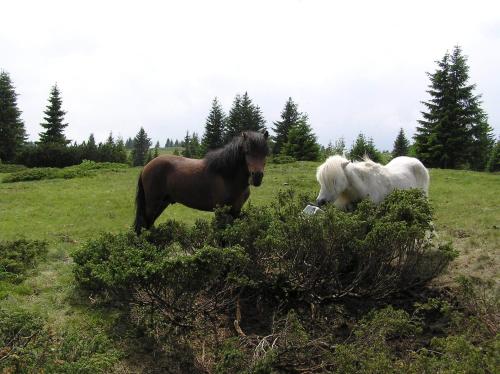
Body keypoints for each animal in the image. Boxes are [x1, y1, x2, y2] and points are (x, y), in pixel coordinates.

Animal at [134, 129, 270, 234]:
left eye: (265, 153)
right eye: (247, 152)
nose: (257, 177)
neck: (226, 175)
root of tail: (146, 166)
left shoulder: (235, 212)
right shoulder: (220, 212)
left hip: (162, 203)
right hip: (152, 204)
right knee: (145, 223)